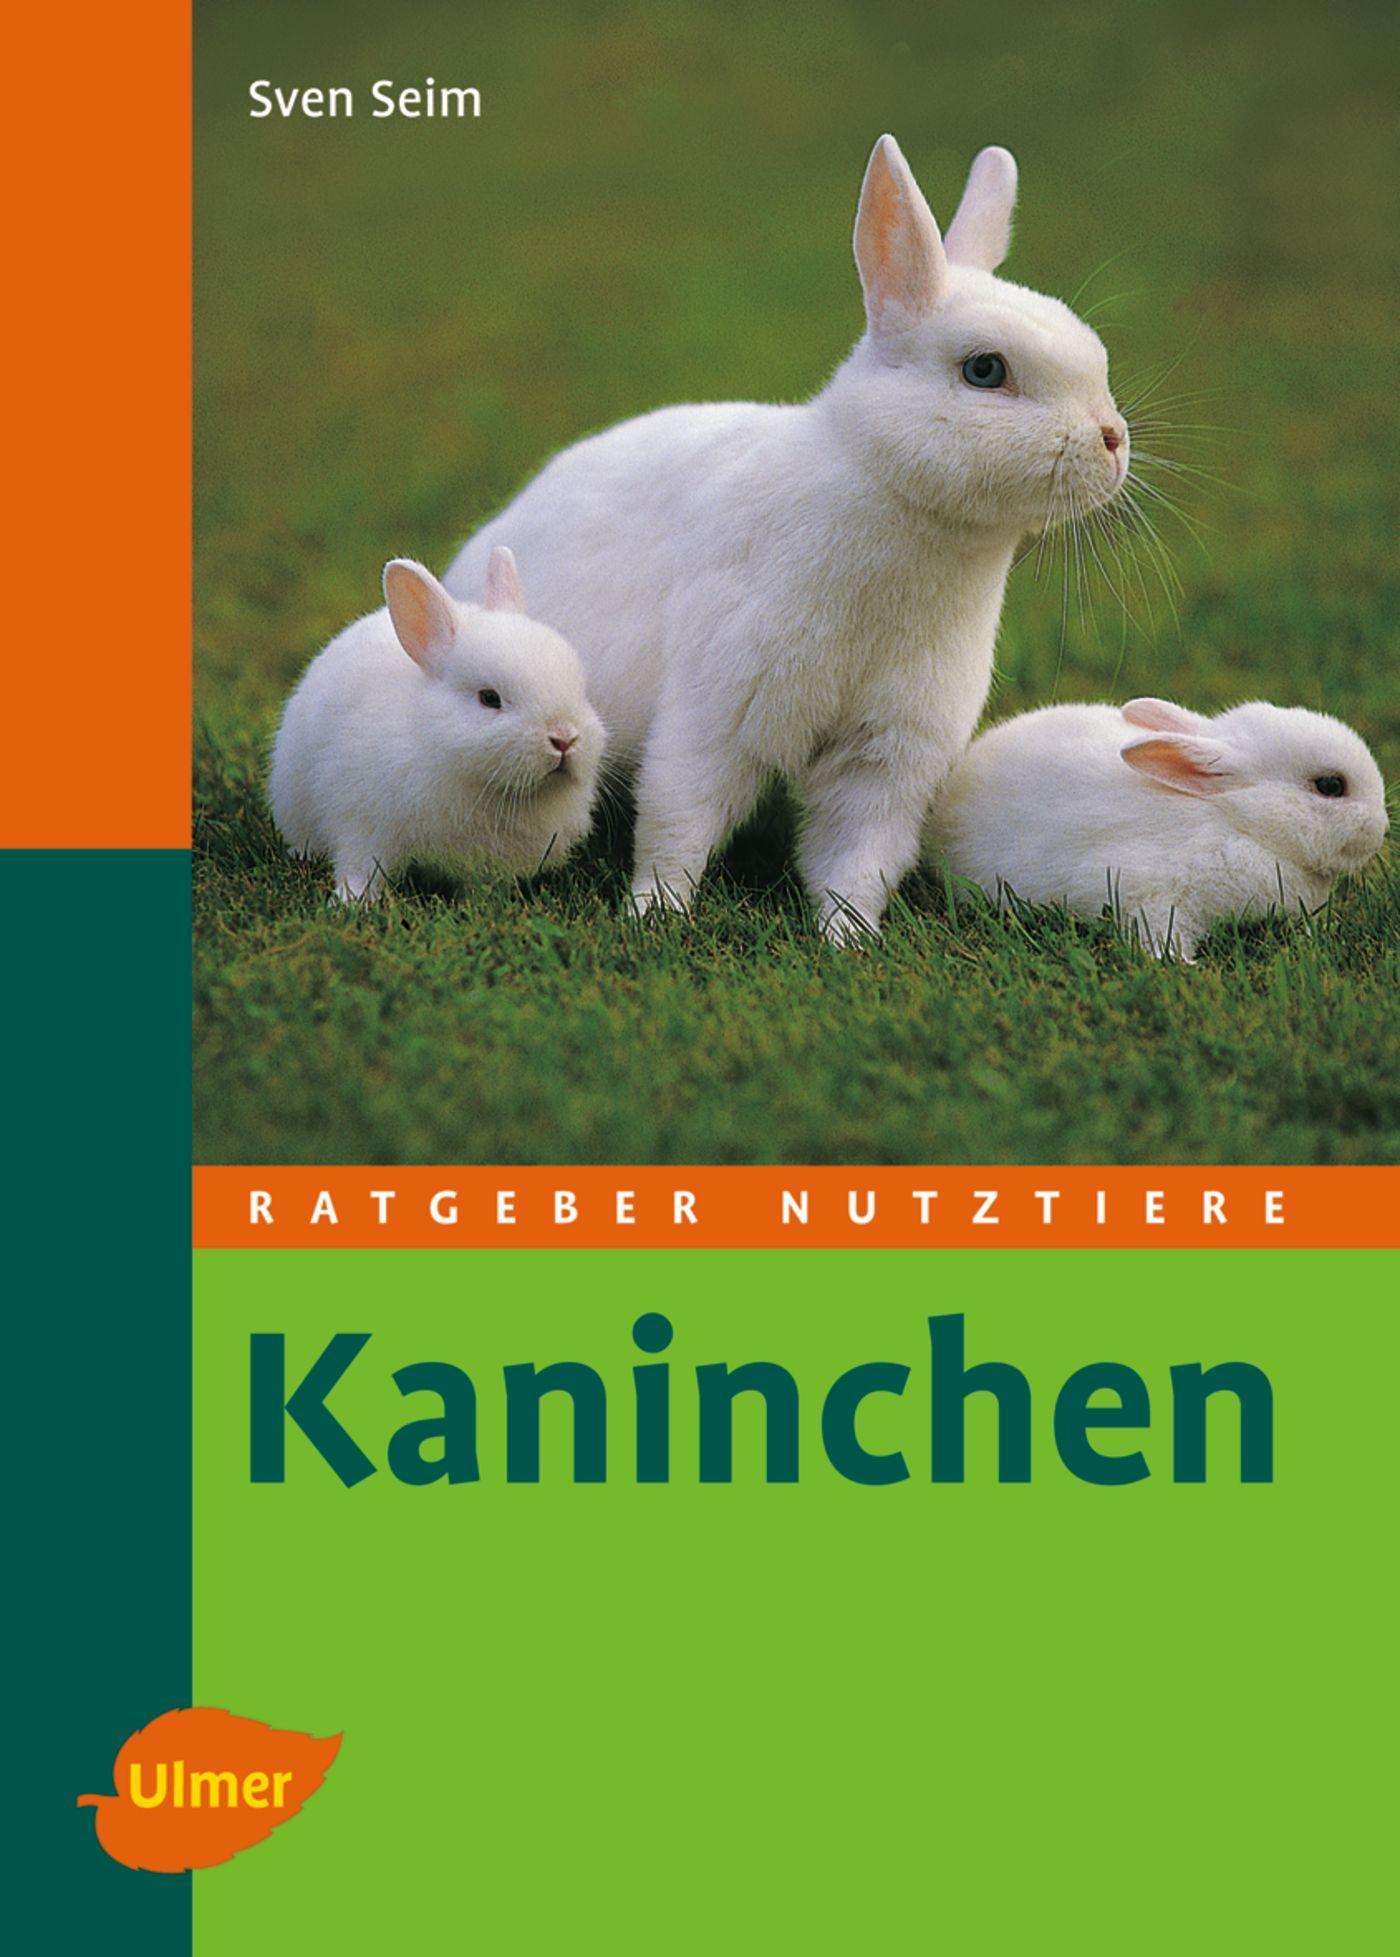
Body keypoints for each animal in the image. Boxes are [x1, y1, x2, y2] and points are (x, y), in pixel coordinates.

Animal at [268, 548, 605, 902]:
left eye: (580, 689)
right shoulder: (363, 825)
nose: (564, 738)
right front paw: (352, 902)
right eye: (489, 698)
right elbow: (360, 867)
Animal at [444, 135, 1129, 942]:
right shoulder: (716, 712)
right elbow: (678, 821)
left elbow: (858, 856)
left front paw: (849, 940)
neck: (894, 506)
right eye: (985, 369)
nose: (1114, 441)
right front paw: (656, 916)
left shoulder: (886, 757)